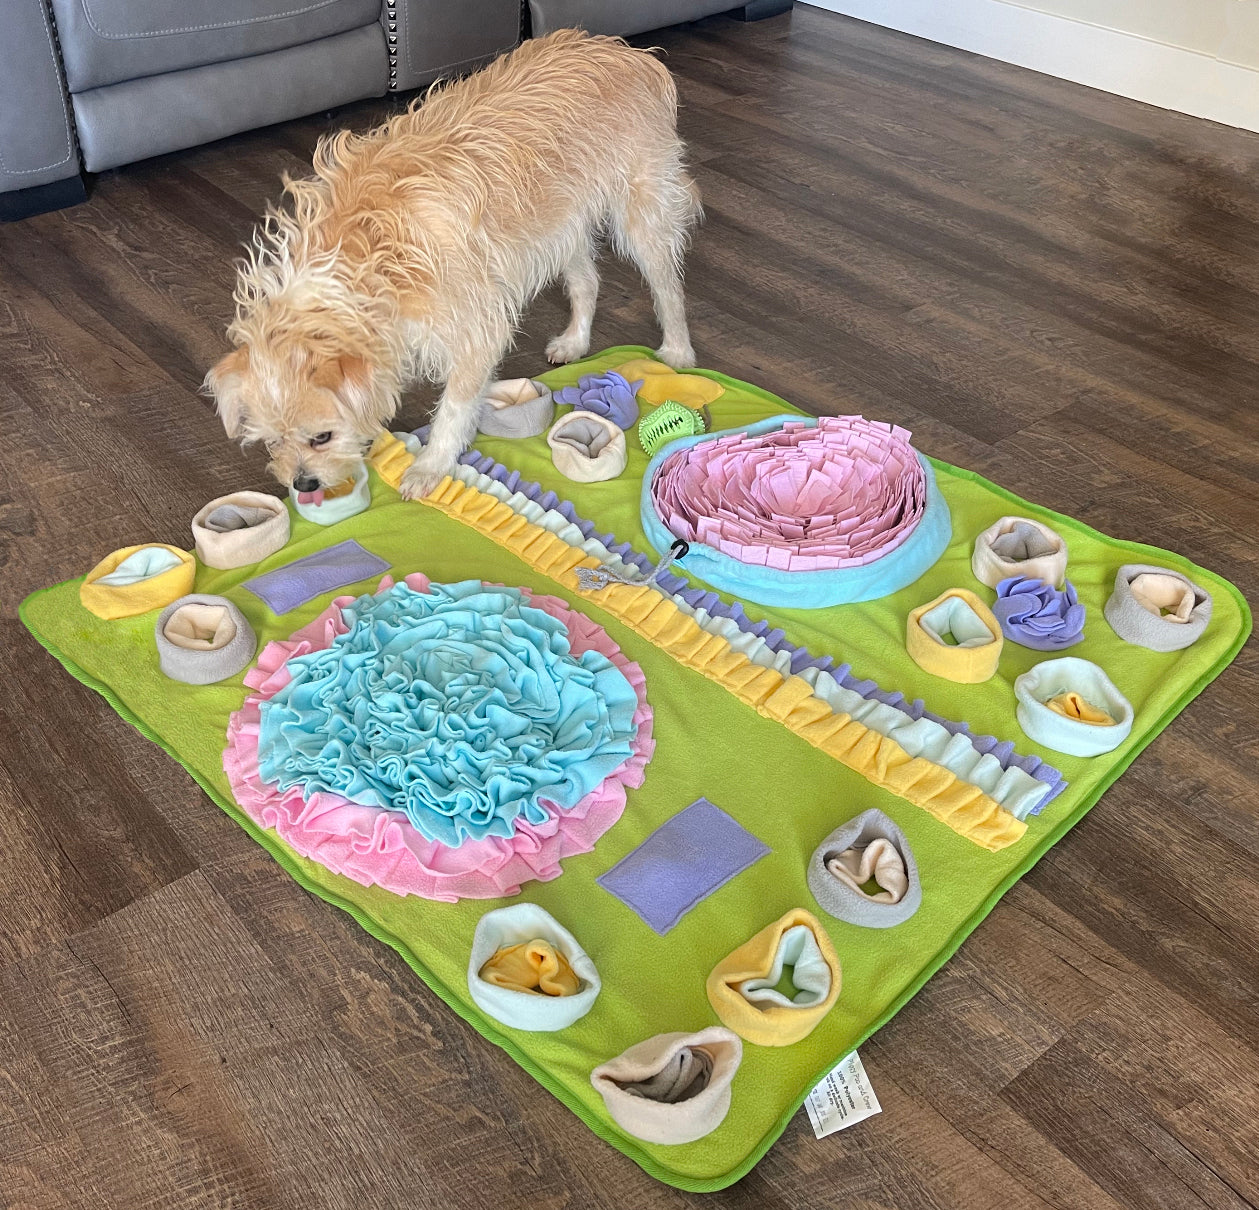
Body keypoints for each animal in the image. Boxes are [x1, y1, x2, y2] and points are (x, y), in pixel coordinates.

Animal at [205, 30, 700, 498]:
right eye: (272, 441)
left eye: (322, 437)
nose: (303, 485)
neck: (364, 261)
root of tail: (627, 52)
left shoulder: (476, 328)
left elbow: (454, 407)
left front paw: (430, 466)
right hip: (560, 225)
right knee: (586, 282)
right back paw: (575, 342)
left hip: (640, 215)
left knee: (669, 287)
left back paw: (677, 352)